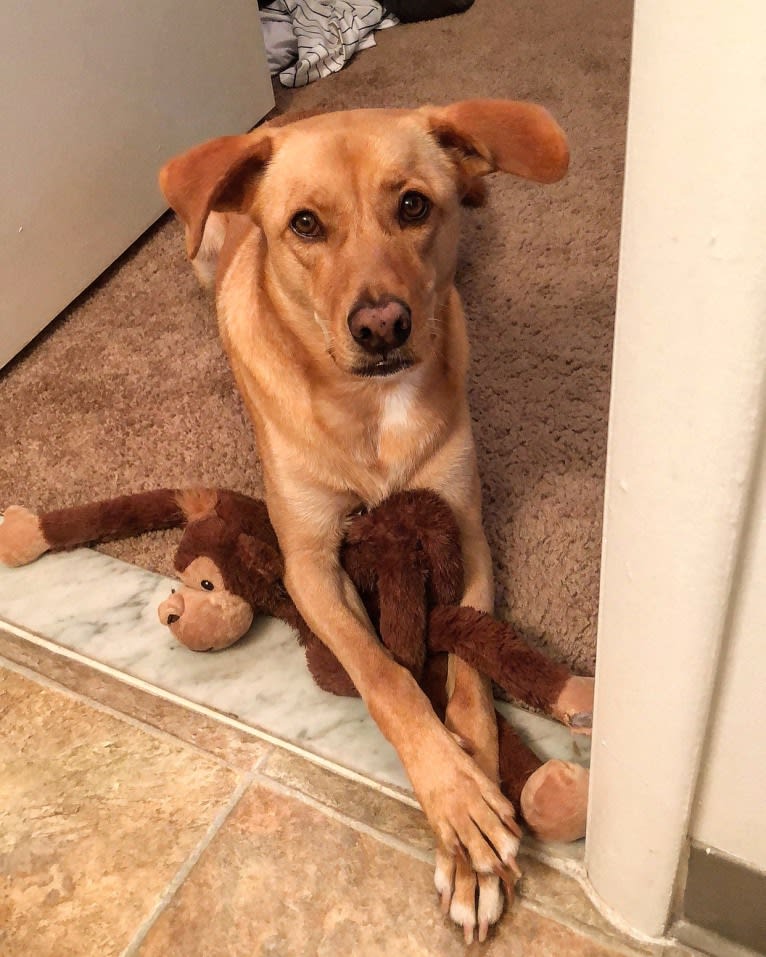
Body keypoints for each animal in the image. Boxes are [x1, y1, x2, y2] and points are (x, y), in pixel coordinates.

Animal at [160, 101, 568, 936]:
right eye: (305, 224)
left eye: (412, 205)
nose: (382, 325)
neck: (371, 405)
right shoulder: (309, 564)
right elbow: (386, 678)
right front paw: (456, 796)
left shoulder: (467, 534)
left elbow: (471, 676)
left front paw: (477, 806)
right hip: (201, 247)